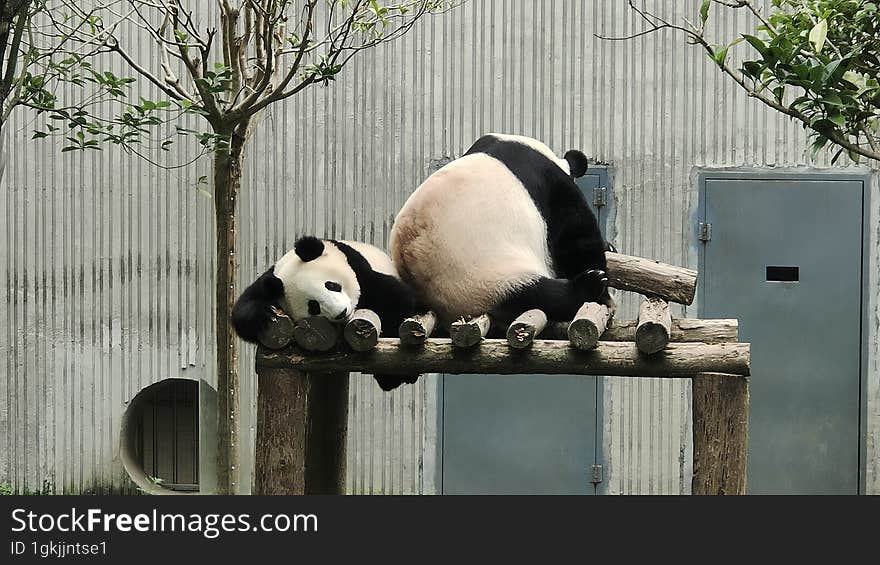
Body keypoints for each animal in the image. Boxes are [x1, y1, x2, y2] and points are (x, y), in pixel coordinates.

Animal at [230, 236, 422, 390]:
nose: (341, 313)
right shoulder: (271, 280)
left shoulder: (358, 267)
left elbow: (396, 298)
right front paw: (263, 314)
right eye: (313, 306)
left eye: (331, 285)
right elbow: (242, 311)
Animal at [388, 132, 616, 326]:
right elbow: (574, 236)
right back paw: (589, 286)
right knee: (536, 296)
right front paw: (604, 292)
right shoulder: (549, 184)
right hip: (480, 279)